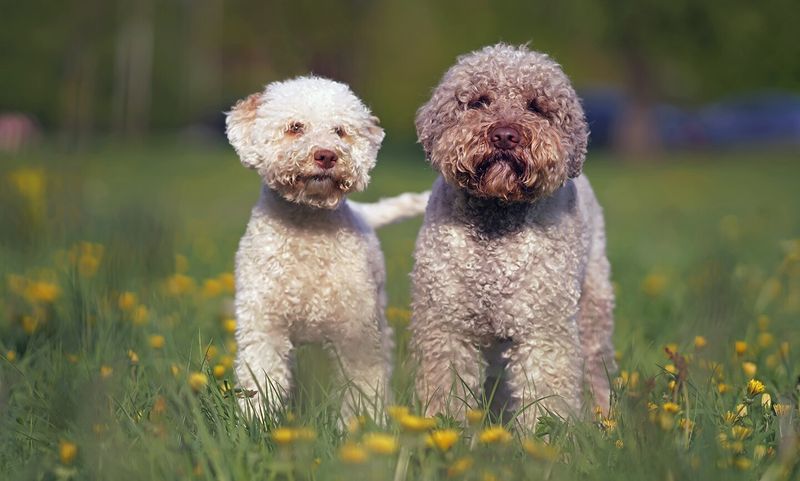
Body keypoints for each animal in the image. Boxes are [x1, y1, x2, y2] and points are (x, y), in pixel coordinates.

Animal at [227, 75, 432, 416]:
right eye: (295, 127)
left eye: (340, 131)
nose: (326, 155)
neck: (308, 227)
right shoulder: (264, 322)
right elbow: (261, 377)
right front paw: (255, 420)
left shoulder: (356, 329)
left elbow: (364, 384)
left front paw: (366, 422)